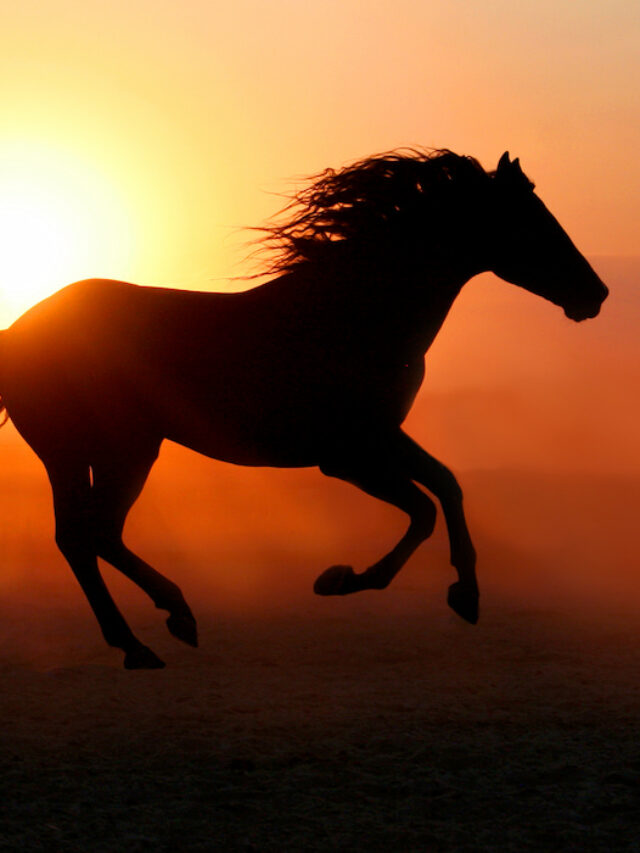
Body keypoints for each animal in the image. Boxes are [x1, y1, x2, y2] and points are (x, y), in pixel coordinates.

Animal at [0, 150, 608, 669]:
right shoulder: (348, 456)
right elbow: (423, 509)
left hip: (74, 454)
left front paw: (465, 594)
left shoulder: (381, 438)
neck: (351, 315)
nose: (595, 294)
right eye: (532, 221)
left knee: (77, 537)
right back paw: (167, 623)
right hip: (124, 448)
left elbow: (447, 485)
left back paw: (145, 638)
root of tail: (18, 333)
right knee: (96, 532)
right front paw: (342, 579)